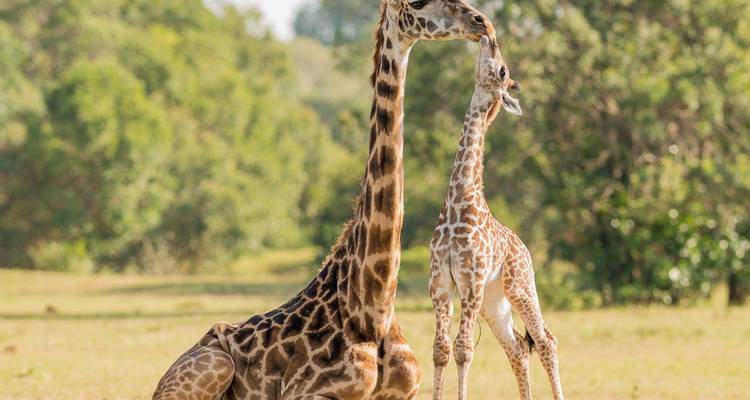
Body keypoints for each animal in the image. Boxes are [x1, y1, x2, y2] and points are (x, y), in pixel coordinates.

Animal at [152, 1, 496, 399]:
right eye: (416, 3)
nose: (480, 21)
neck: (372, 311)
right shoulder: (307, 393)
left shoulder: (406, 391)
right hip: (214, 367)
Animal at [428, 36, 565, 400]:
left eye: (502, 70)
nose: (490, 38)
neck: (458, 202)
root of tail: (525, 249)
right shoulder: (440, 283)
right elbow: (440, 349)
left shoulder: (471, 281)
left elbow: (463, 349)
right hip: (495, 302)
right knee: (517, 347)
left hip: (519, 287)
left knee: (546, 341)